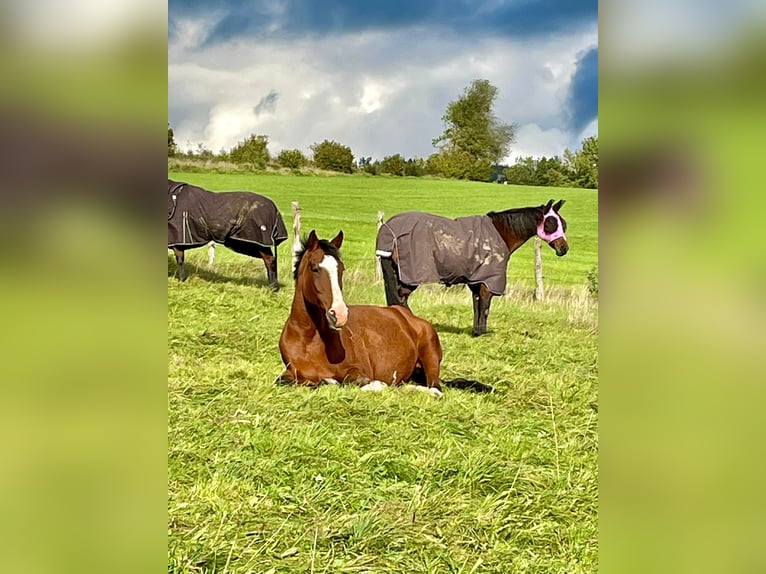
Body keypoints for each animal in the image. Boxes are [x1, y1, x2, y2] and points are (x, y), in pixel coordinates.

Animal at [277, 230, 490, 397]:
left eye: (341, 269)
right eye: (314, 268)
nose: (340, 314)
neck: (309, 341)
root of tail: (409, 318)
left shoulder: (360, 371)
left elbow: (356, 382)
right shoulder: (290, 374)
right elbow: (287, 380)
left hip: (430, 357)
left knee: (434, 388)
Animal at [376, 199, 569, 336]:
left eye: (564, 224)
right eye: (552, 224)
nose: (564, 249)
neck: (501, 233)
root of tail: (388, 230)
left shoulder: (477, 281)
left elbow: (477, 306)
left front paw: (476, 331)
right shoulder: (488, 282)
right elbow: (485, 307)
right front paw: (482, 333)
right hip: (411, 276)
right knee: (401, 298)